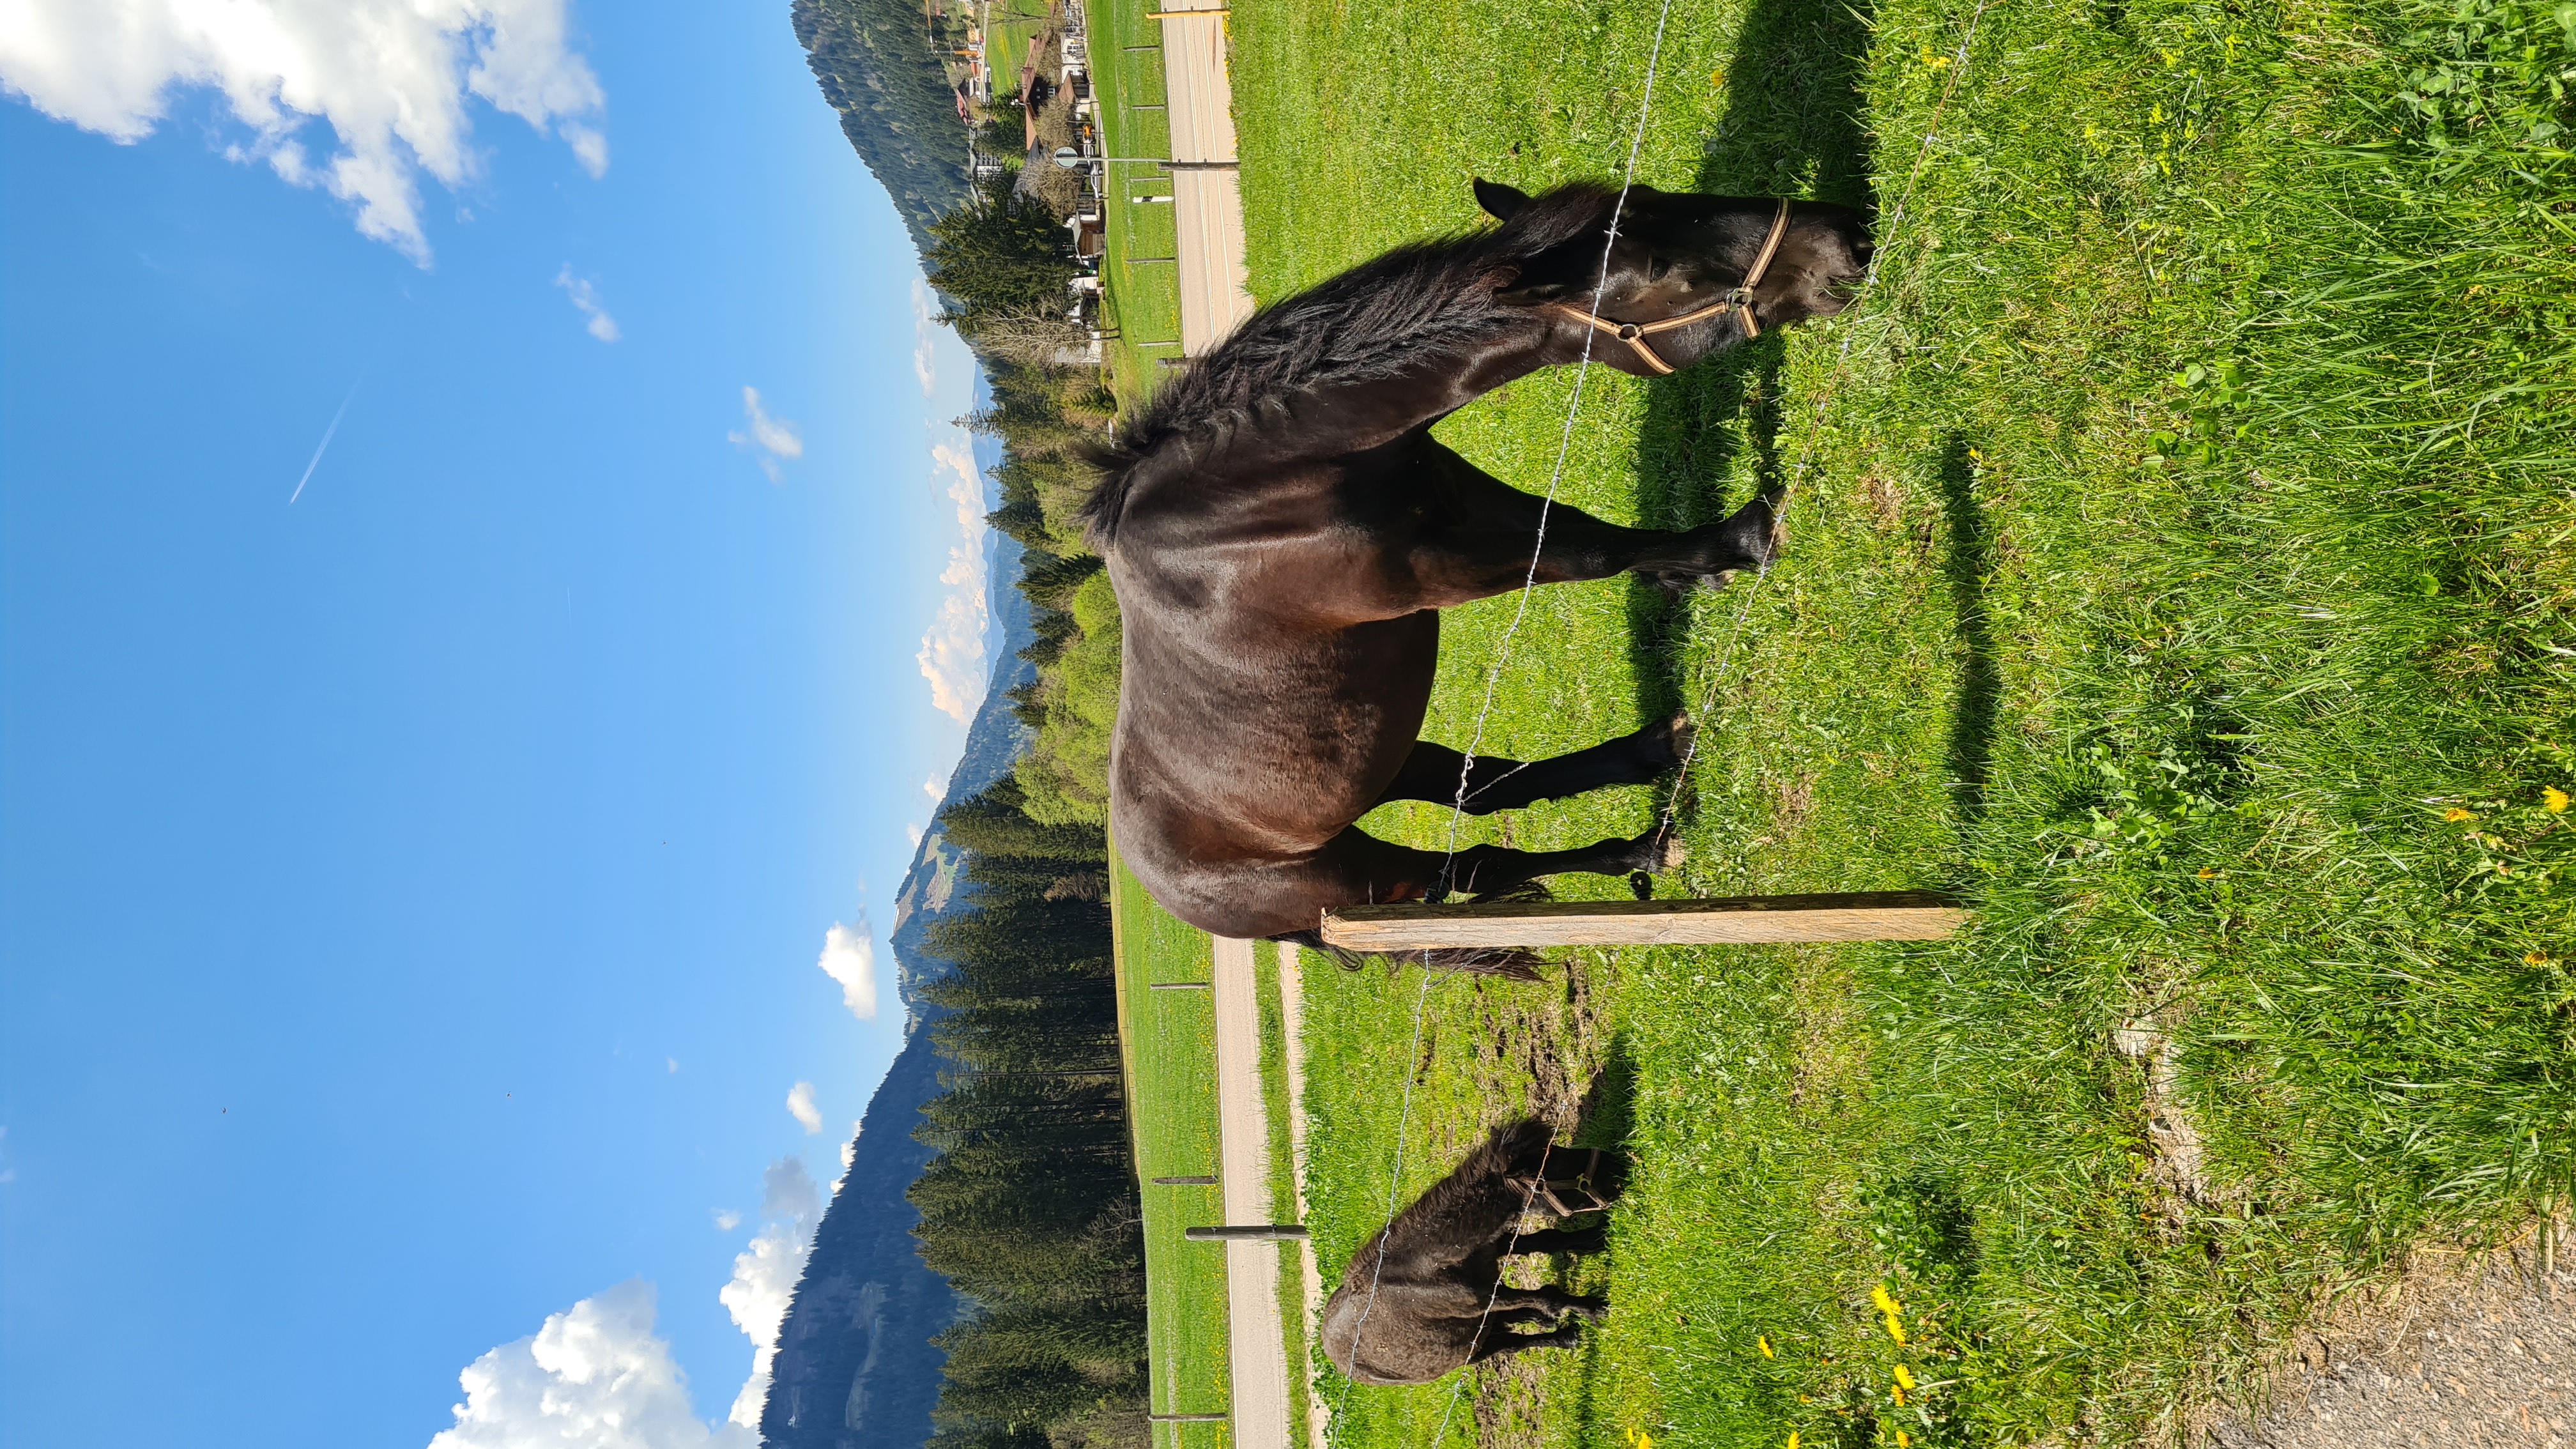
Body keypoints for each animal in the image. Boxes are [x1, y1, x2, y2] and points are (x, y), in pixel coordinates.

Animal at [1084, 179, 1873, 970]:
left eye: (1657, 200)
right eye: (1659, 268)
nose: (1849, 237)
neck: (1249, 495)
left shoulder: (1468, 499)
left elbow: (1586, 528)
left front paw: (1713, 556)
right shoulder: (1436, 573)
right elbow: (1593, 555)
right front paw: (1745, 539)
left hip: (1388, 768)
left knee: (1483, 794)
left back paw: (1651, 757)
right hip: (1365, 878)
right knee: (1477, 865)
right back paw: (1639, 847)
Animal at [1318, 1118, 1626, 1384]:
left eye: (1559, 1151)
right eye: (1547, 1174)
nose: (1616, 1166)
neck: (1426, 1269)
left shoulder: (1490, 1247)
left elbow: (1547, 1240)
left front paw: (1594, 1238)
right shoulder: (1483, 1299)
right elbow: (1547, 1297)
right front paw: (1594, 1309)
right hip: (1473, 1351)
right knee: (1513, 1344)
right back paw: (1563, 1337)